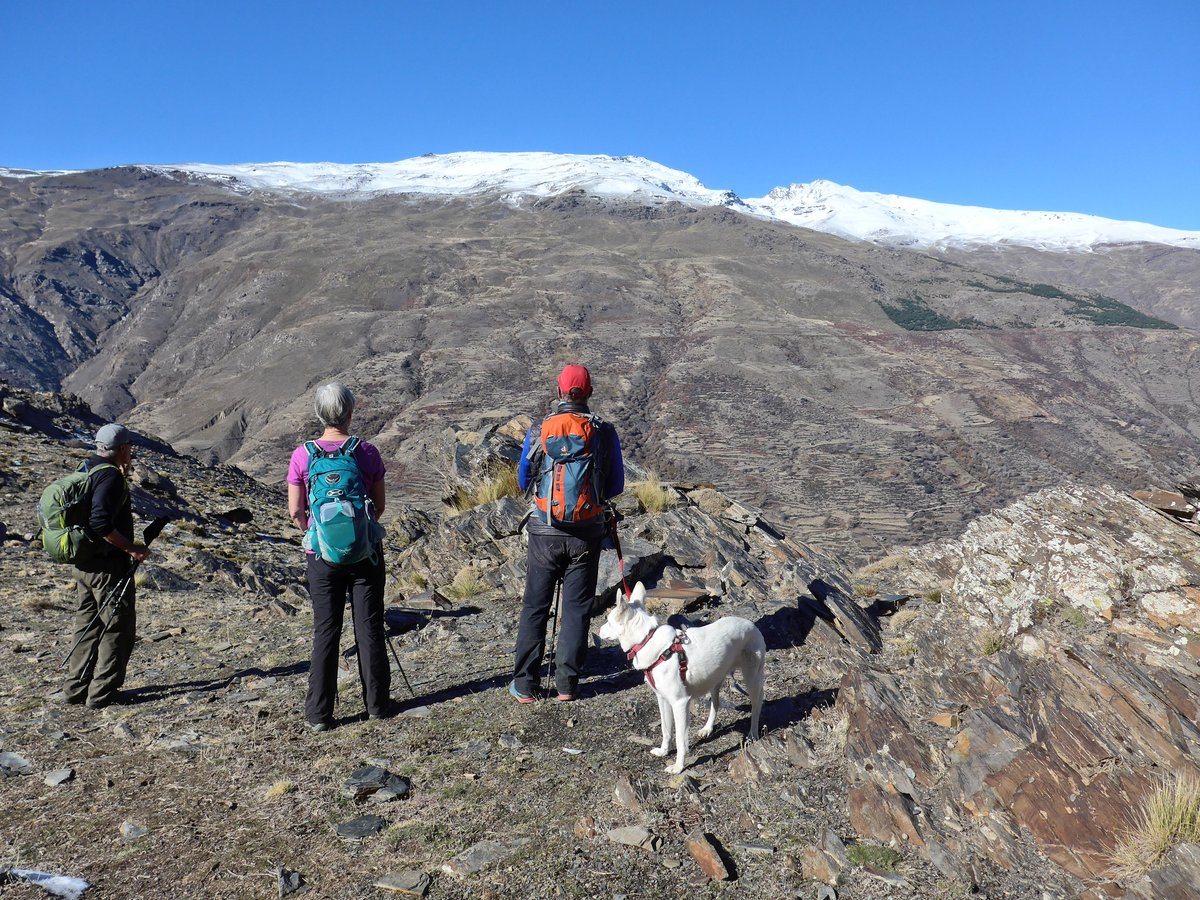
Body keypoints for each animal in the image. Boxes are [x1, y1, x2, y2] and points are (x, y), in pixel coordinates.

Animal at [600, 585, 768, 777]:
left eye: (609, 621)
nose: (598, 632)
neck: (646, 639)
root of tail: (752, 624)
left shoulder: (680, 703)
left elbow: (680, 740)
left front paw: (678, 767)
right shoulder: (663, 699)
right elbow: (666, 730)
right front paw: (663, 751)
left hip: (751, 679)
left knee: (757, 704)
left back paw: (753, 734)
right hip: (714, 679)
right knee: (716, 703)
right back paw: (707, 729)